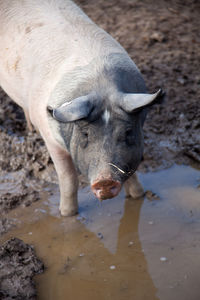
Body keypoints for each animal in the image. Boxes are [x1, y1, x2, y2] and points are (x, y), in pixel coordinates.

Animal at [0, 0, 164, 216]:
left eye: (128, 132)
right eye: (85, 134)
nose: (105, 180)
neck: (102, 86)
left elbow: (132, 172)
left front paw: (139, 197)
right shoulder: (51, 140)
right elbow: (69, 178)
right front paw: (67, 215)